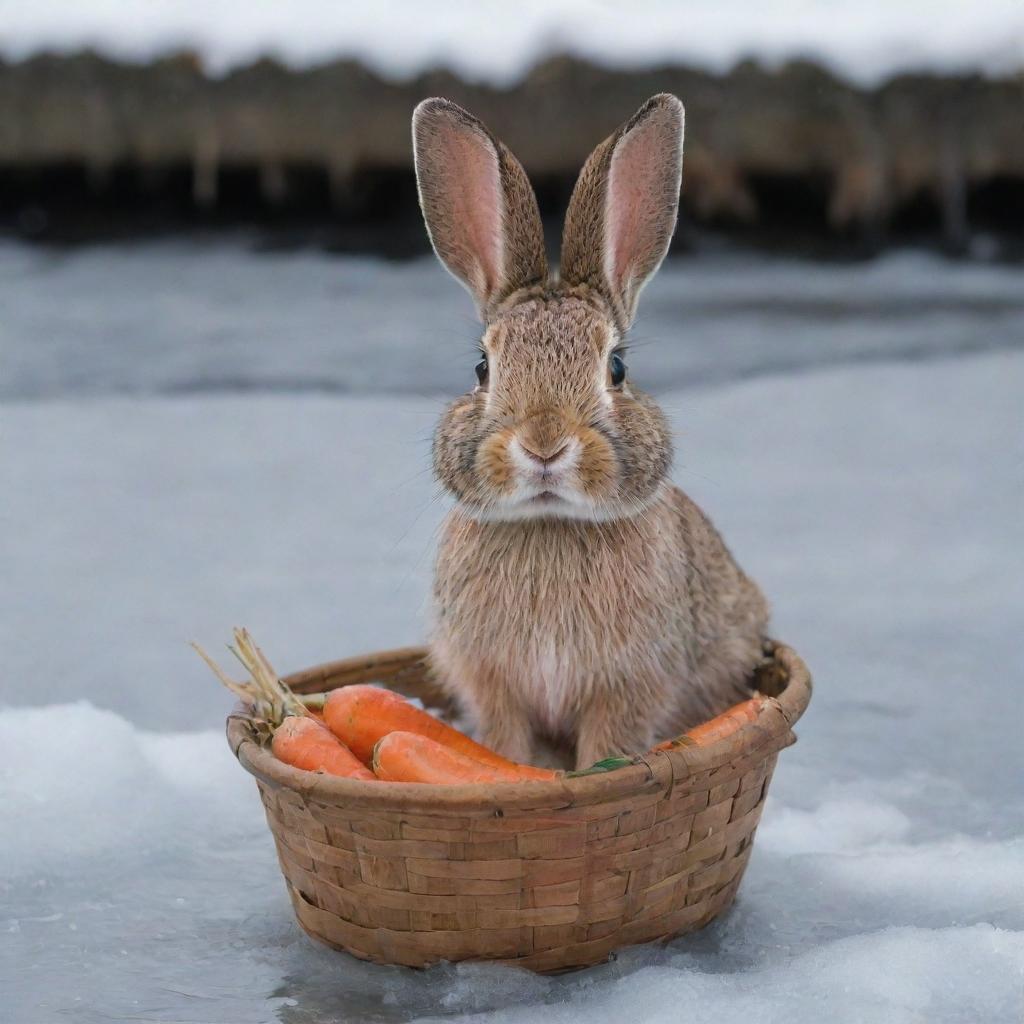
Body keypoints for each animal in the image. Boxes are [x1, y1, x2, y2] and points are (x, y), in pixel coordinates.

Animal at [411, 94, 770, 770]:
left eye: (617, 368)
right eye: (482, 368)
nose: (544, 445)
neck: (551, 521)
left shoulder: (631, 688)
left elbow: (610, 749)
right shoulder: (492, 687)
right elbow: (504, 748)